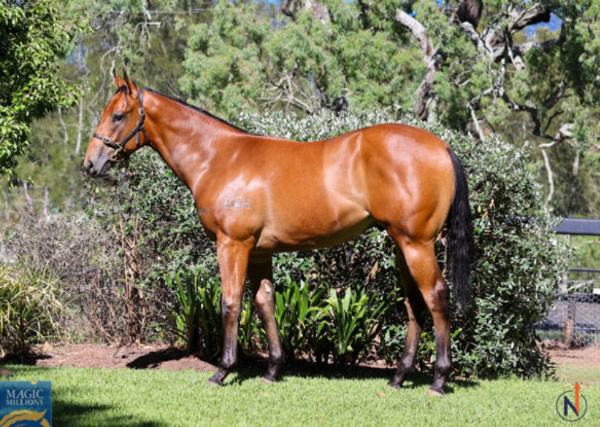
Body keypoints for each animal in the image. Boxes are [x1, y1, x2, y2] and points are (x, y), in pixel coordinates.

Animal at [83, 72, 474, 396]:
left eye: (117, 115)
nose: (90, 164)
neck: (220, 157)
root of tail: (441, 146)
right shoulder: (259, 251)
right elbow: (264, 302)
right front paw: (272, 369)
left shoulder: (233, 244)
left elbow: (231, 303)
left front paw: (222, 371)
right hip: (400, 245)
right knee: (413, 305)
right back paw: (398, 377)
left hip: (416, 244)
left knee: (436, 297)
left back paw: (439, 380)